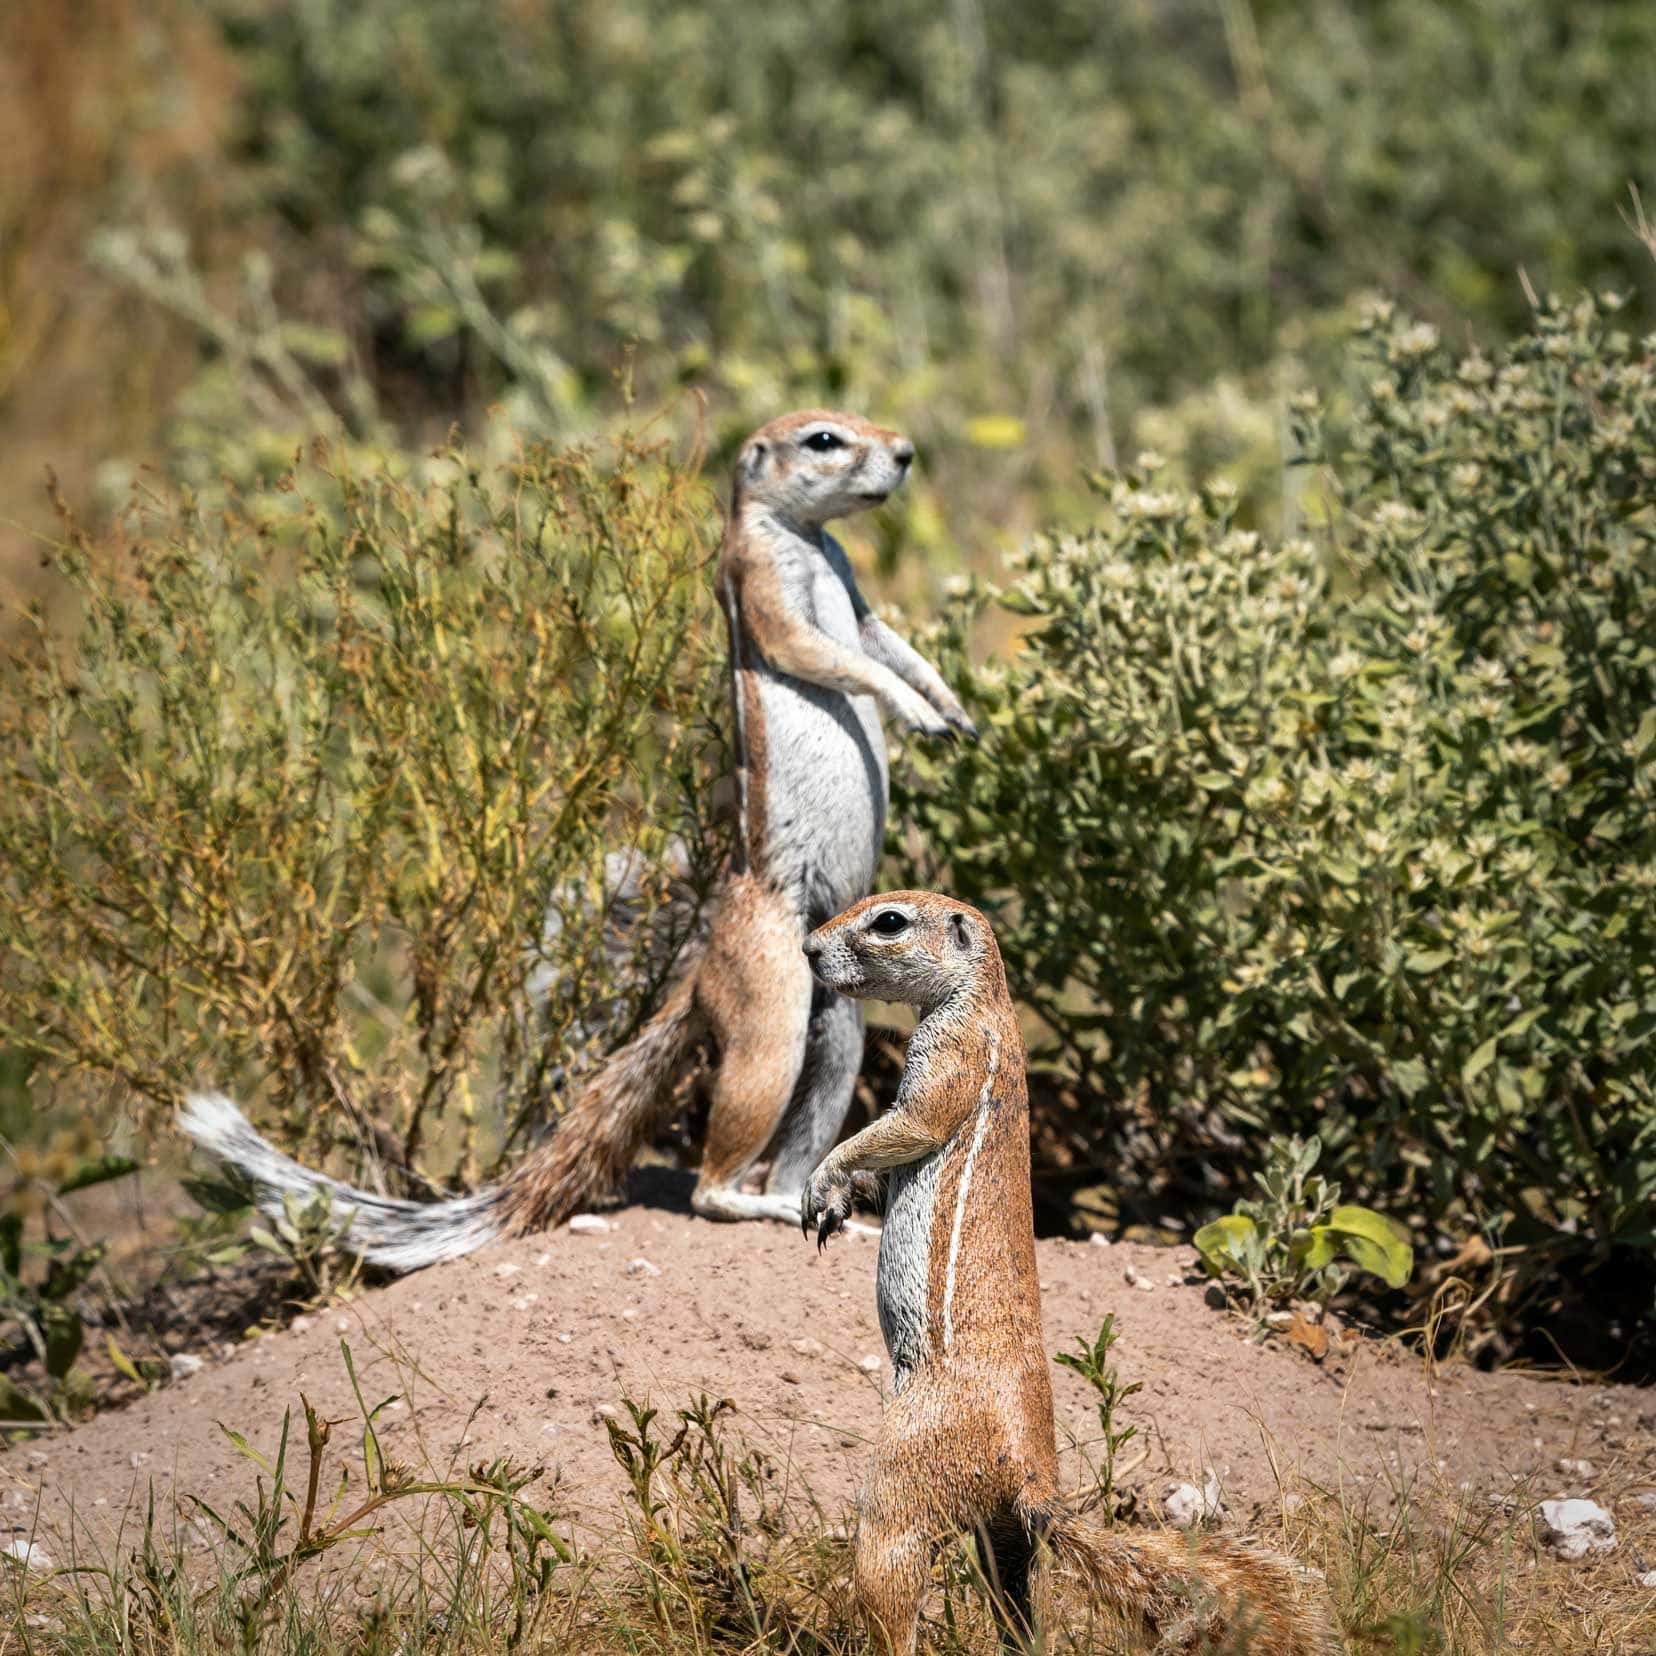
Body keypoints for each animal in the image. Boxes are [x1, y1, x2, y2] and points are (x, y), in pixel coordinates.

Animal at [182, 410, 973, 1265]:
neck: (809, 537)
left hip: (840, 1023)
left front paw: (953, 709)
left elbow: (887, 641)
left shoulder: (856, 598)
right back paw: (750, 1199)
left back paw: (816, 1197)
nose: (906, 454)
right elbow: (831, 653)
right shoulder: (762, 581)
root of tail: (700, 974)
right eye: (825, 439)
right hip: (772, 1006)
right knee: (714, 1174)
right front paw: (914, 709)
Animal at [794, 894, 1338, 1656]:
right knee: (1019, 1605)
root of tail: (1032, 1476)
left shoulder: (950, 1057)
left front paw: (823, 1183)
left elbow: (902, 1127)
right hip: (1003, 1537)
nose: (809, 950)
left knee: (893, 1586)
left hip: (898, 1485)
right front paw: (838, 1203)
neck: (984, 1001)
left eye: (890, 921)